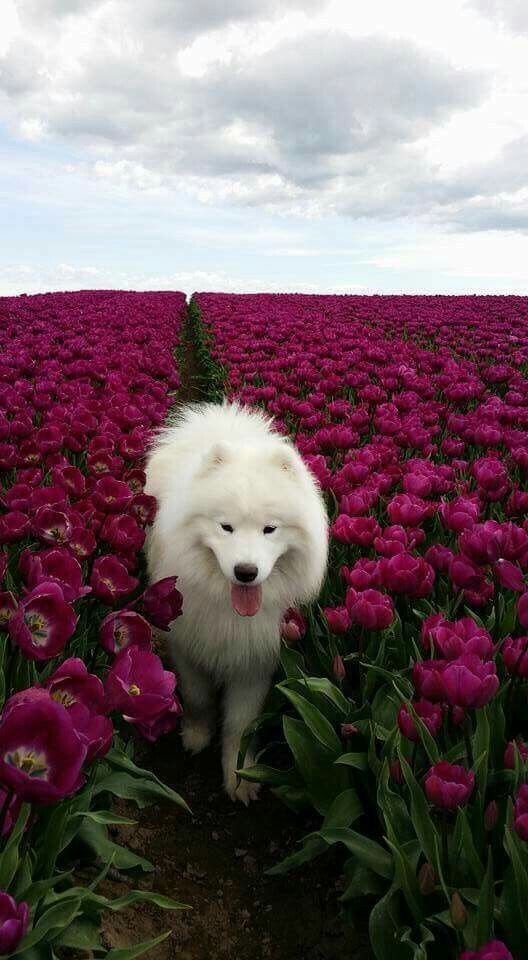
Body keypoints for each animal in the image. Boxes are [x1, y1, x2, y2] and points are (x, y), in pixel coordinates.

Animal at [143, 402, 326, 808]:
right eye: (225, 527)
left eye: (270, 529)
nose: (246, 571)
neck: (230, 610)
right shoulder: (187, 645)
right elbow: (197, 698)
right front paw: (196, 735)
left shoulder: (254, 662)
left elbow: (240, 726)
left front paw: (240, 777)